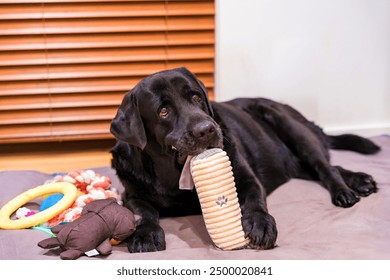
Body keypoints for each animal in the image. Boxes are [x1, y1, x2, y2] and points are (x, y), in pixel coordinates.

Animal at [110, 67, 380, 252]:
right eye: (163, 111)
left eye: (196, 97)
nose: (206, 130)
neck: (174, 175)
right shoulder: (131, 193)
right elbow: (144, 211)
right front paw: (146, 234)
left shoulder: (246, 177)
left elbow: (253, 199)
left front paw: (261, 224)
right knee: (325, 167)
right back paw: (360, 180)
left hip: (289, 125)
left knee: (325, 167)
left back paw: (347, 190)